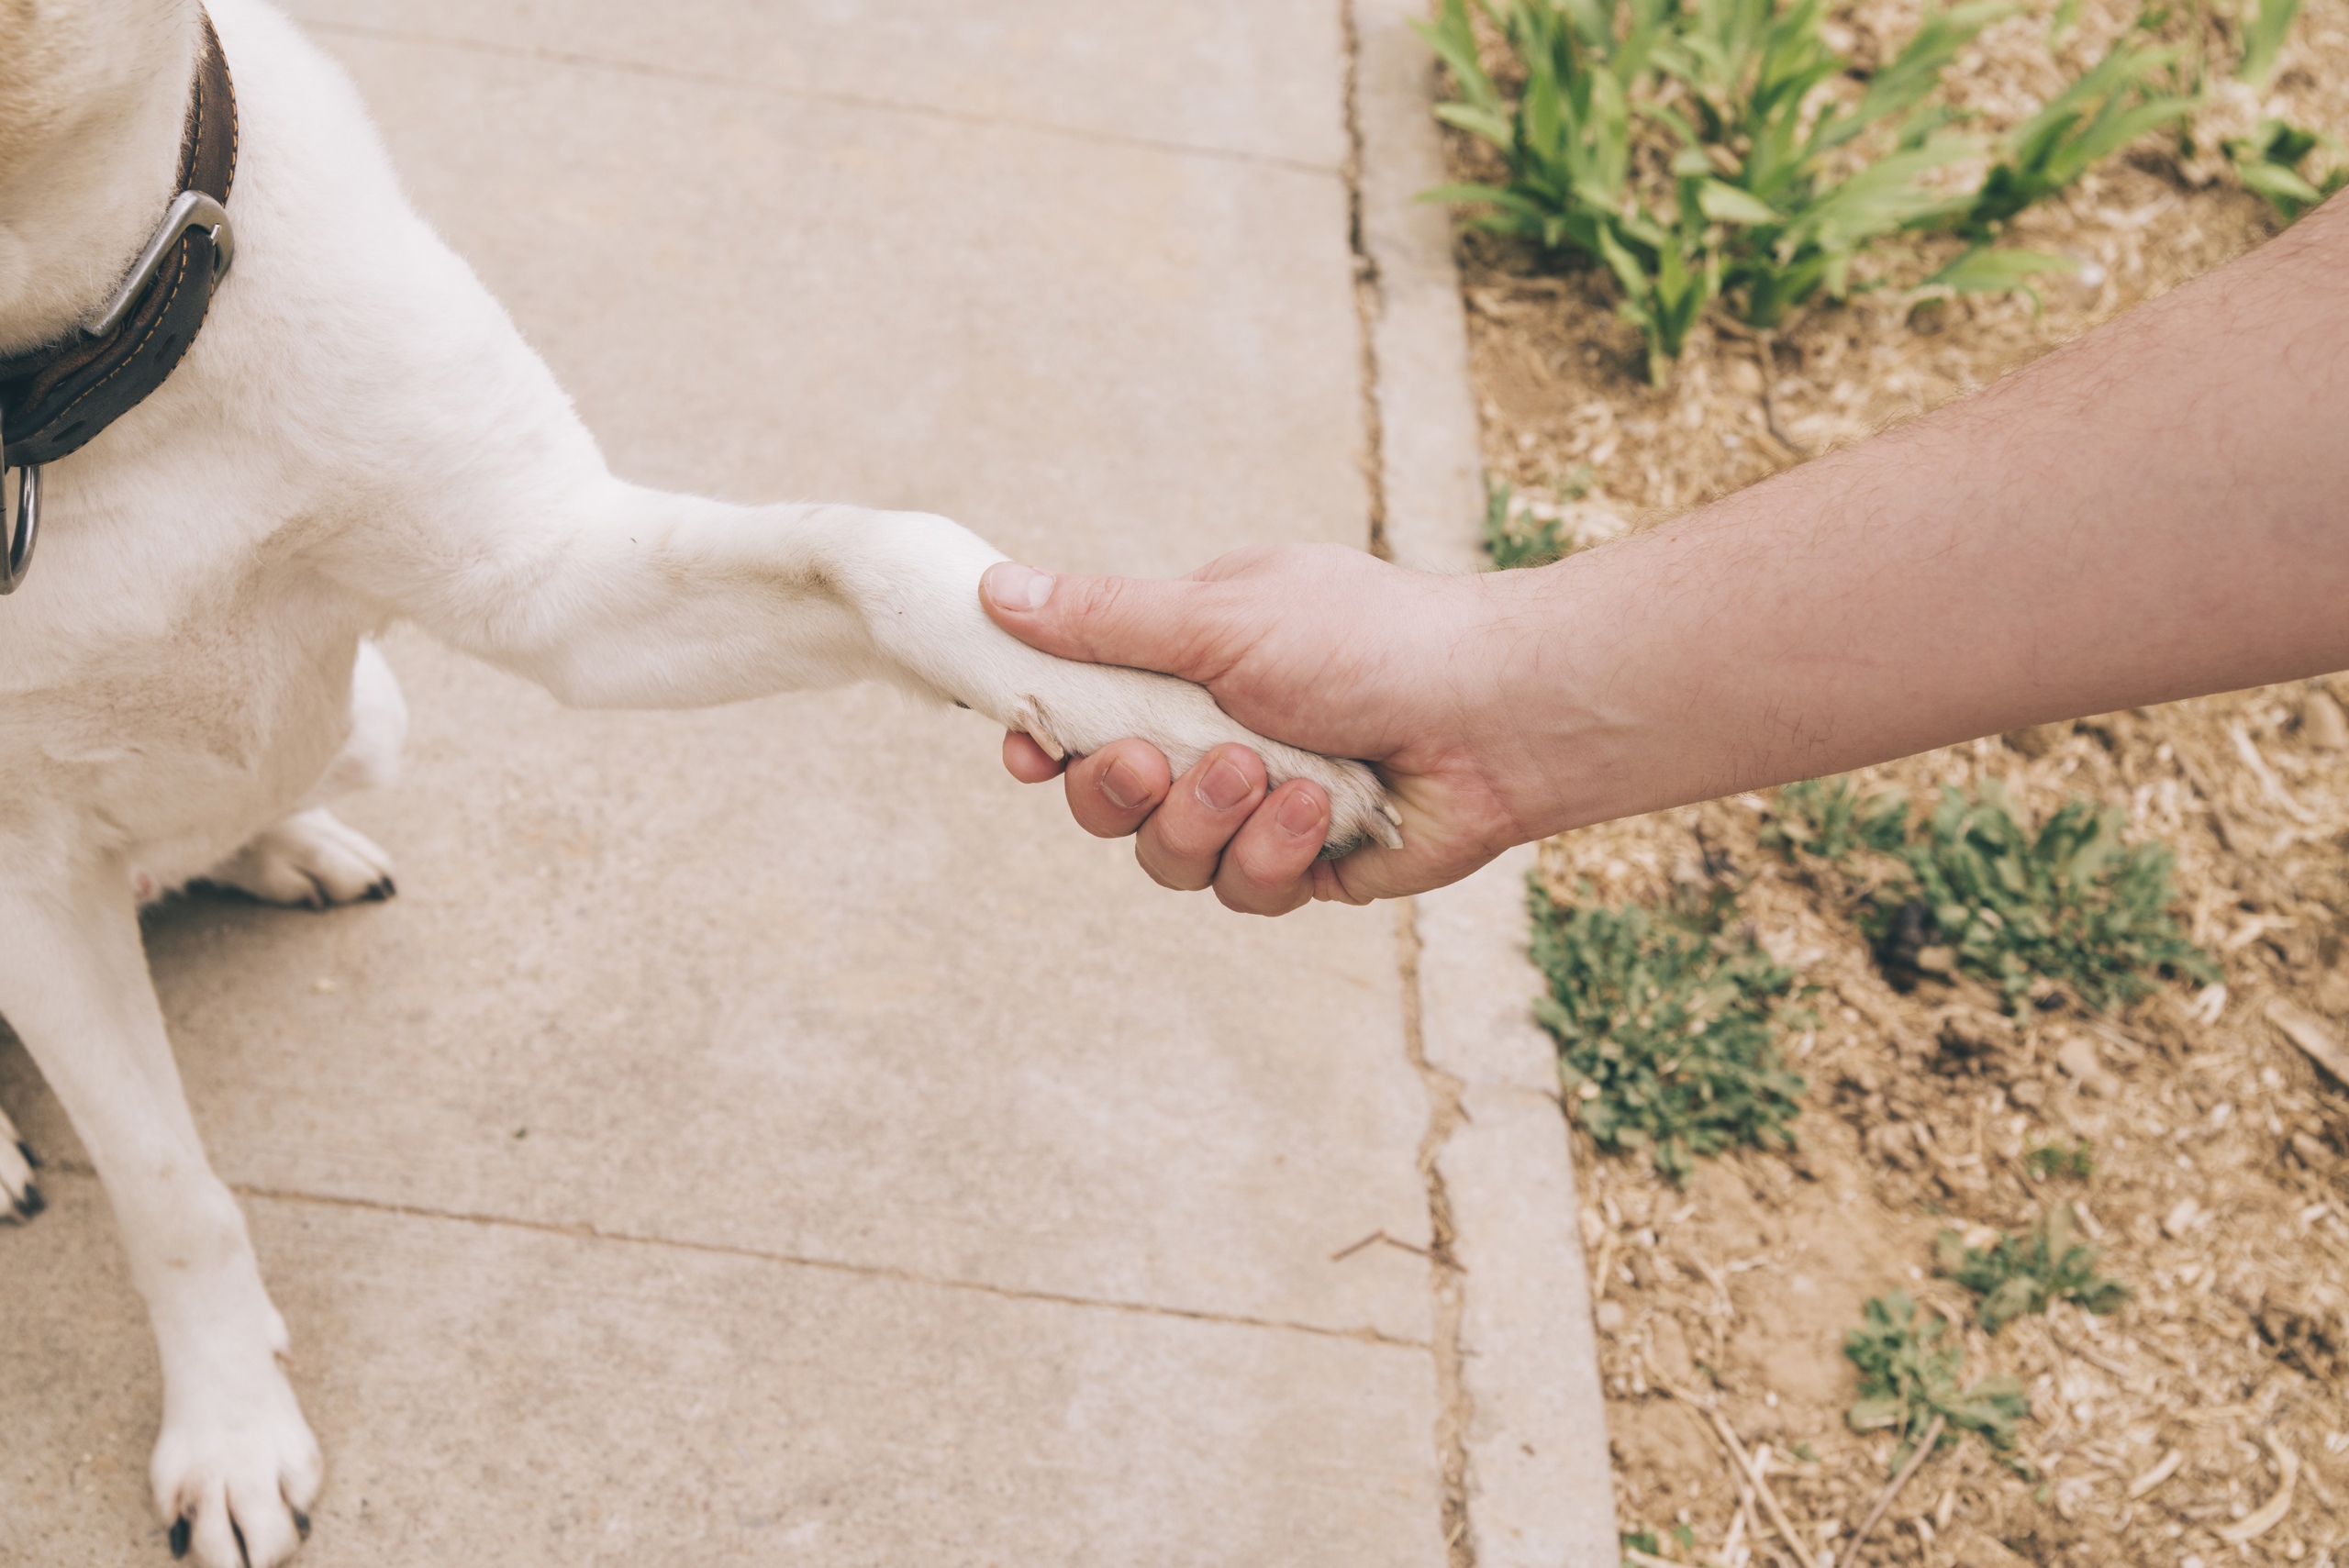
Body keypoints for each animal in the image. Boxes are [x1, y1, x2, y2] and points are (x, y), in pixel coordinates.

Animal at [0, 6, 1390, 1558]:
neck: (62, 401)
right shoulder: (29, 887)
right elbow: (168, 1189)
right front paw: (232, 1428)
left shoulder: (555, 583)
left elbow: (881, 549)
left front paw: (1201, 717)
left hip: (373, 713)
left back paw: (281, 841)